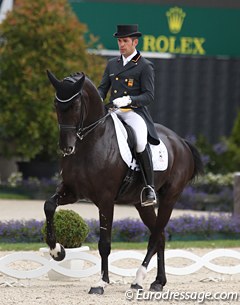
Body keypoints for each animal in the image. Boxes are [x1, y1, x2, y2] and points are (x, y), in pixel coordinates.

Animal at [44, 70, 202, 294]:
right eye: (56, 104)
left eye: (75, 105)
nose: (67, 147)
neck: (91, 142)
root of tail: (181, 142)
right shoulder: (72, 191)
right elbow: (49, 205)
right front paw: (57, 251)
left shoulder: (106, 199)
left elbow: (104, 243)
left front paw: (101, 283)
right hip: (141, 203)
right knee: (160, 235)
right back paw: (158, 282)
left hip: (169, 198)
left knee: (155, 236)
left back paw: (138, 279)